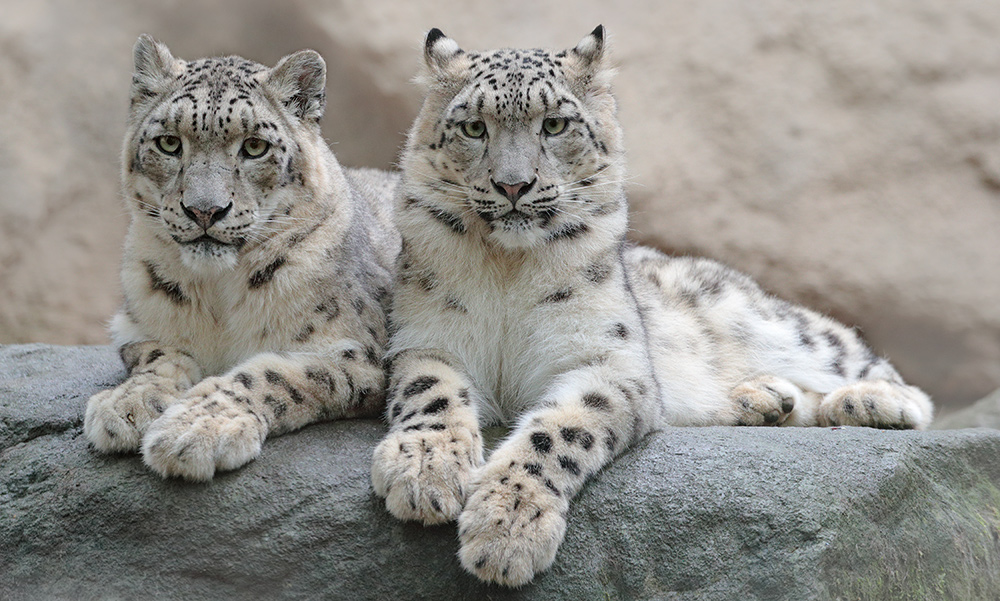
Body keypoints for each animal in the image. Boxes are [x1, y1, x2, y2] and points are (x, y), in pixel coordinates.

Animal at [84, 36, 400, 478]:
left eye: (254, 146)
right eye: (169, 142)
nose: (204, 210)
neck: (217, 295)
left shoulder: (358, 352)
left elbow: (273, 374)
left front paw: (196, 429)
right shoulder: (137, 326)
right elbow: (157, 355)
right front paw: (128, 404)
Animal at [372, 28, 932, 584]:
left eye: (554, 124)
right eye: (473, 127)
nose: (513, 185)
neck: (508, 269)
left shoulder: (609, 360)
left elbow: (558, 432)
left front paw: (506, 528)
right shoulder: (425, 339)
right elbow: (431, 394)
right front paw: (423, 472)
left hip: (768, 323)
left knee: (869, 365)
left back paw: (868, 402)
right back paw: (763, 398)